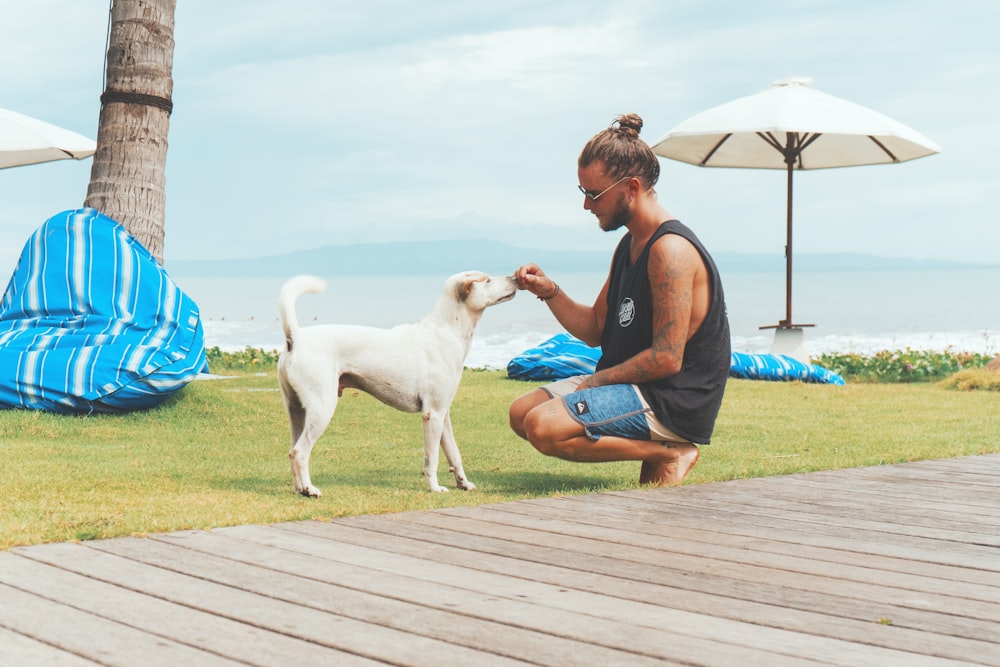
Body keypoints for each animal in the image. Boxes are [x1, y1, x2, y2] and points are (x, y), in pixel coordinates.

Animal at [280, 272, 520, 496]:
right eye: (487, 280)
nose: (515, 277)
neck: (443, 332)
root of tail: (296, 338)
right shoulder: (432, 415)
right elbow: (432, 458)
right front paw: (434, 487)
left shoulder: (443, 414)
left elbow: (454, 454)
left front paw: (464, 483)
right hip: (322, 408)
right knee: (300, 451)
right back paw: (310, 489)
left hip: (297, 410)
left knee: (292, 450)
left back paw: (300, 489)